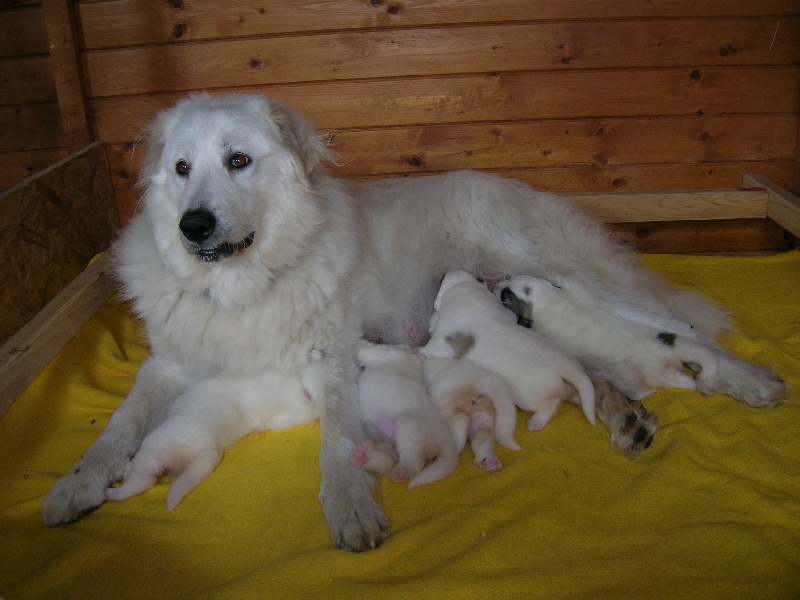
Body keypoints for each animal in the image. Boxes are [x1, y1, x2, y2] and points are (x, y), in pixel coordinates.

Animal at [350, 342, 456, 488]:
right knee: (389, 460)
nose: (412, 348)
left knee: (414, 461)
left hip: (410, 426)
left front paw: (357, 345)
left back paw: (402, 472)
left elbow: (366, 349)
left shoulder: (387, 353)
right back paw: (363, 457)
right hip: (379, 435)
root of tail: (446, 437)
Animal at [422, 270, 596, 432]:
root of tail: (567, 368)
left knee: (551, 404)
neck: (468, 288)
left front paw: (421, 351)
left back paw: (536, 422)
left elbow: (433, 347)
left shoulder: (444, 340)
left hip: (529, 398)